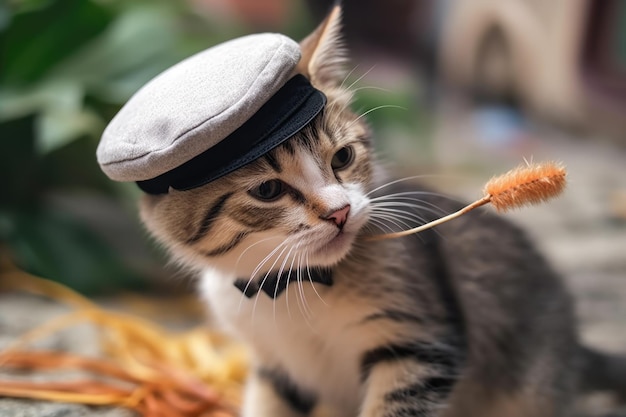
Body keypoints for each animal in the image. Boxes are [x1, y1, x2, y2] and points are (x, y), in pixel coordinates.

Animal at [138, 6, 624, 416]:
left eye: (342, 157)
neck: (294, 286)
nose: (338, 212)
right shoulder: (274, 365)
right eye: (268, 189)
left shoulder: (419, 341)